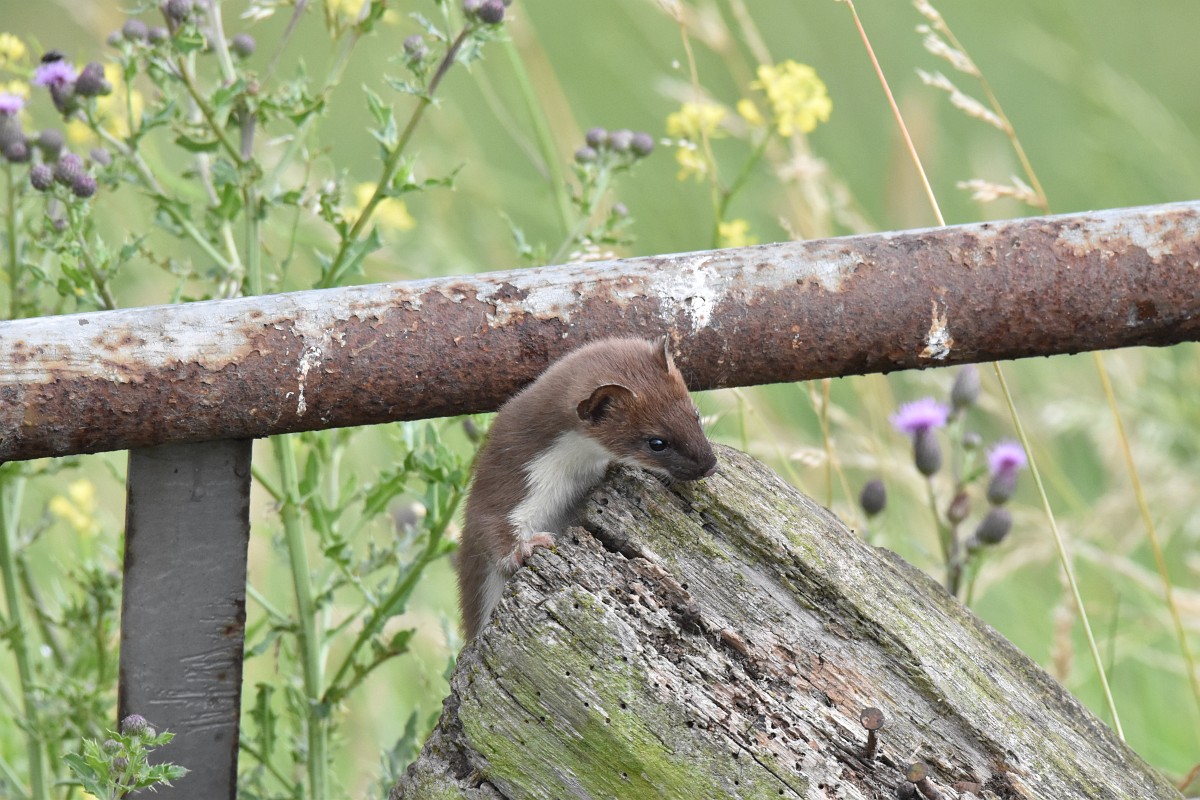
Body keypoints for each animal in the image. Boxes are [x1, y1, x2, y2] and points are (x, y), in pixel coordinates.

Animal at [457, 337, 717, 640]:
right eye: (656, 442)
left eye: (695, 414)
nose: (710, 465)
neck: (568, 476)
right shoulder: (509, 478)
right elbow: (487, 525)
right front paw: (529, 546)